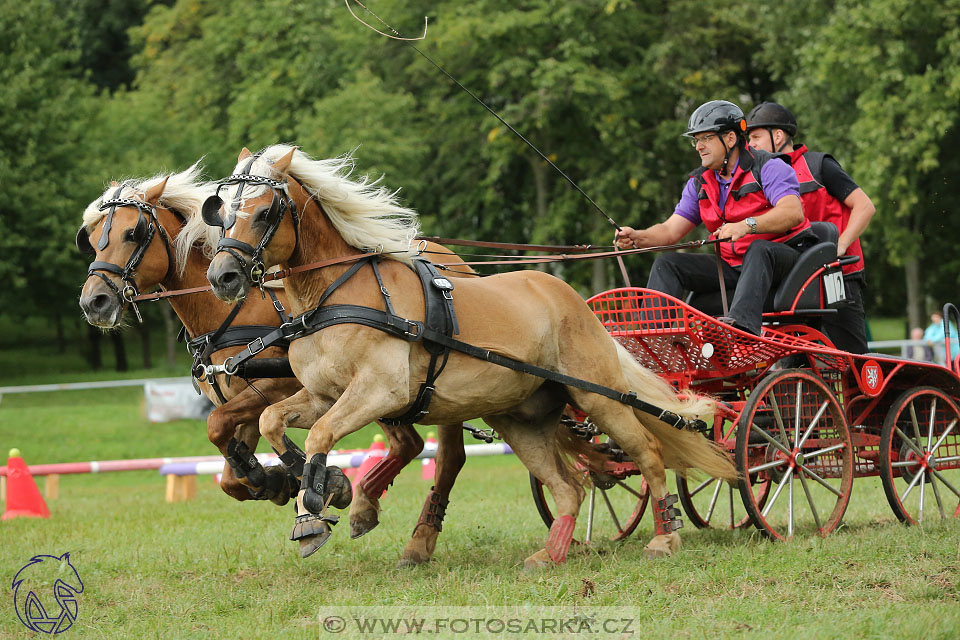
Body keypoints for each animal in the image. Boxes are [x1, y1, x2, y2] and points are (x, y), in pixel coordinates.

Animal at [77, 166, 474, 560]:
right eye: (92, 239)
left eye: (132, 233)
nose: (93, 302)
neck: (231, 311)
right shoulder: (241, 400)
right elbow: (229, 471)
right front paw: (275, 481)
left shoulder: (275, 387)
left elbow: (217, 425)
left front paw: (315, 482)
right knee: (410, 444)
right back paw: (368, 503)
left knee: (444, 456)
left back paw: (414, 536)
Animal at [206, 144, 740, 564]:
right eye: (223, 212)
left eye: (264, 212)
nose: (222, 277)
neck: (335, 295)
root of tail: (572, 300)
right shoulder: (321, 395)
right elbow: (274, 420)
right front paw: (316, 483)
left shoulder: (380, 391)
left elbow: (319, 433)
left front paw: (315, 509)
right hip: (520, 419)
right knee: (569, 486)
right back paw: (550, 554)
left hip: (599, 397)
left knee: (648, 454)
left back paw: (664, 538)